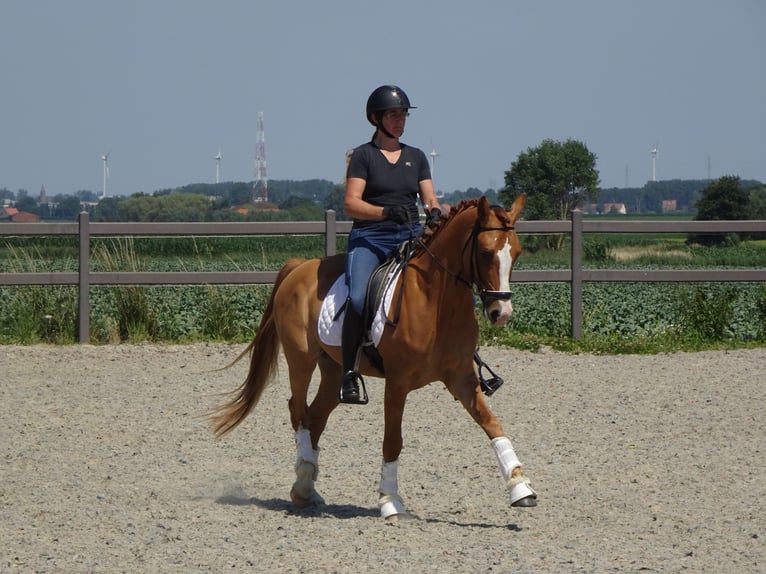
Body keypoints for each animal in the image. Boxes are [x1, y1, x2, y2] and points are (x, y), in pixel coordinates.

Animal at [208, 196, 536, 520]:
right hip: (301, 359)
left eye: (517, 253)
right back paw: (302, 481)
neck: (436, 302)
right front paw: (391, 502)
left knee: (315, 417)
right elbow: (392, 440)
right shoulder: (398, 382)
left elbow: (493, 425)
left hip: (333, 370)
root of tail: (300, 267)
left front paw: (521, 488)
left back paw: (308, 489)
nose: (501, 313)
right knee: (298, 412)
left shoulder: (461, 379)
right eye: (485, 252)